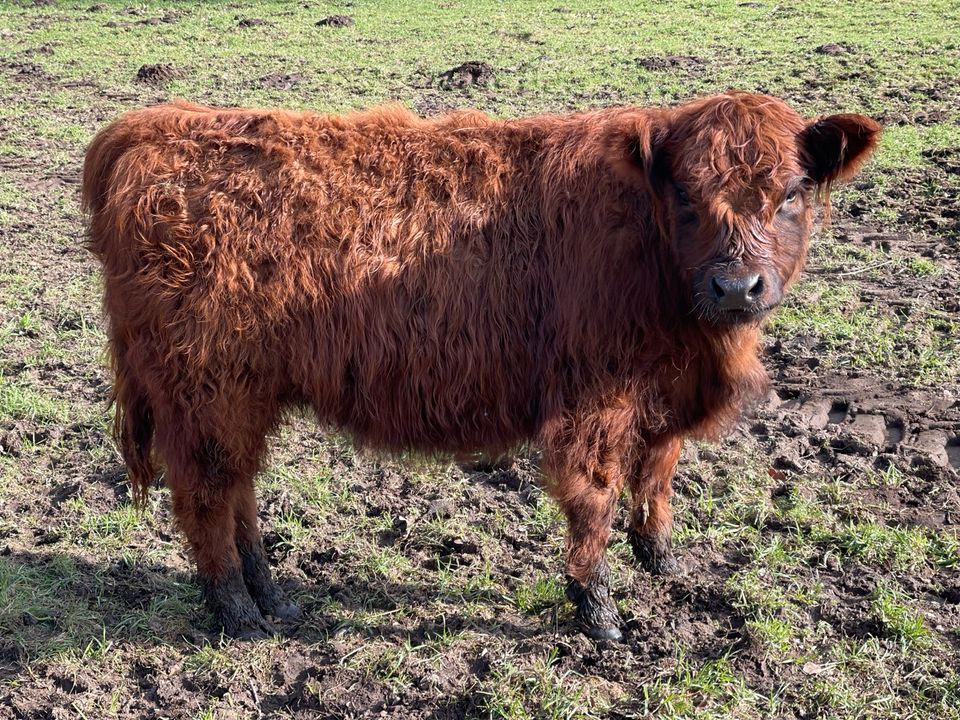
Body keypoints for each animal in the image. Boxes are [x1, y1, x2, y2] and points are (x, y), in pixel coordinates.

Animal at [82, 93, 876, 640]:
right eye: (684, 193)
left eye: (792, 193)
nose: (737, 288)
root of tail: (151, 126)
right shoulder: (592, 405)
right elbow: (594, 500)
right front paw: (599, 612)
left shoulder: (660, 400)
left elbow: (658, 474)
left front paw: (663, 560)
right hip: (207, 394)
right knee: (206, 499)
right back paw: (240, 612)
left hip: (238, 397)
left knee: (237, 491)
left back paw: (275, 596)